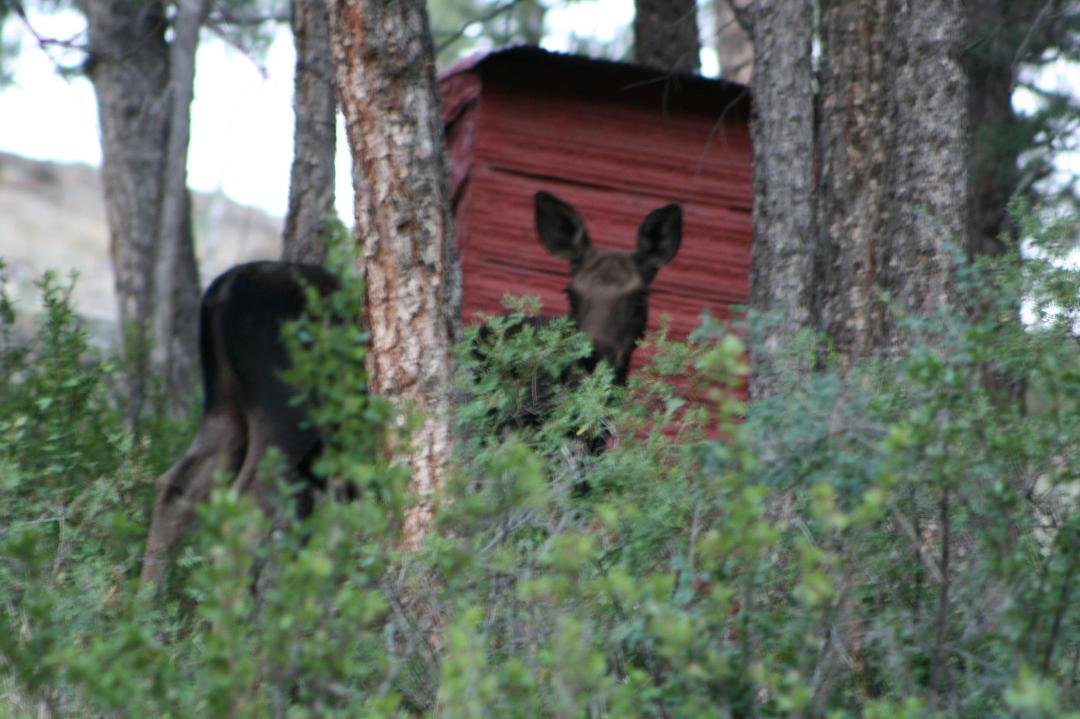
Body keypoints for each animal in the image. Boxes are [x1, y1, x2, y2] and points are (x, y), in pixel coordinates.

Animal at [139, 191, 681, 589]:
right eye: (572, 293)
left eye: (639, 297)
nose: (590, 361)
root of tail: (220, 292)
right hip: (287, 415)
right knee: (247, 504)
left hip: (225, 406)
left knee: (177, 486)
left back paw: (148, 612)